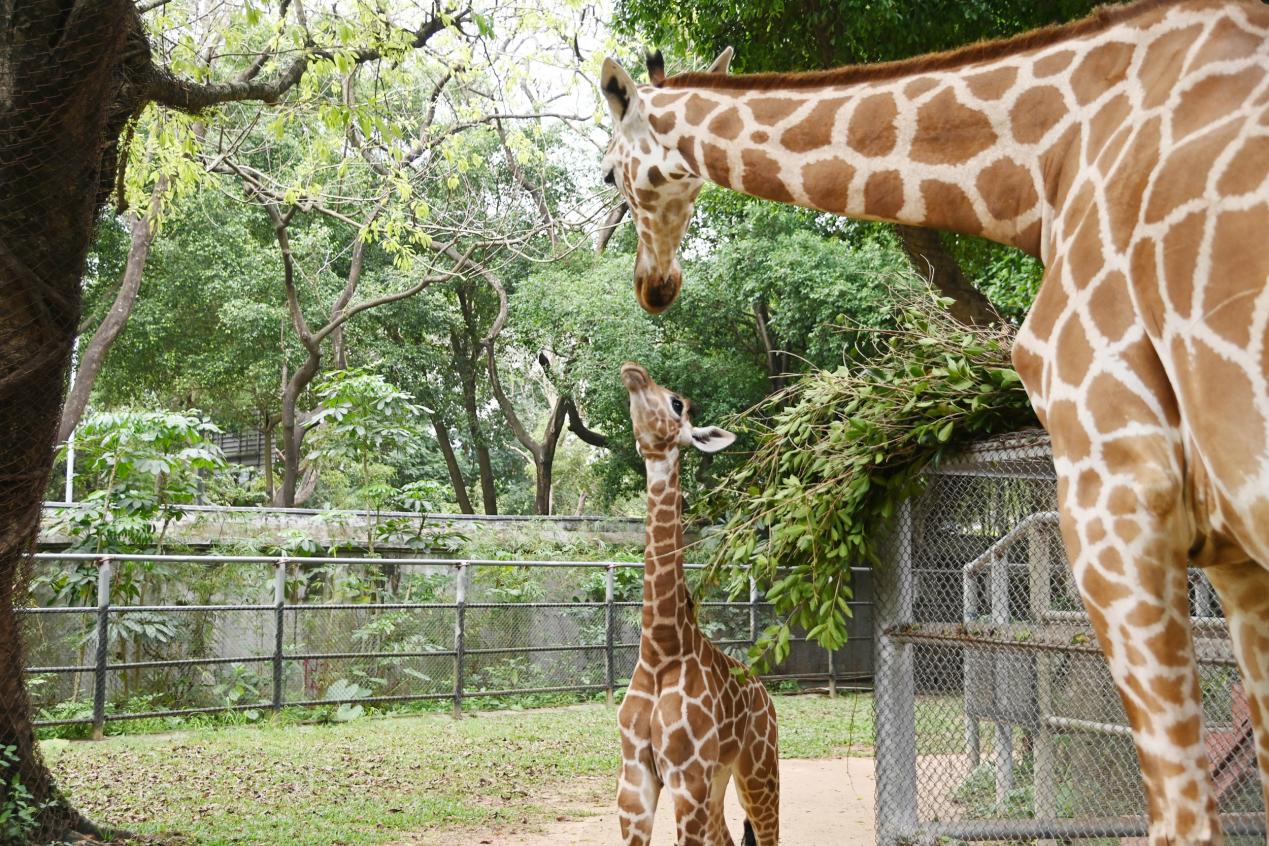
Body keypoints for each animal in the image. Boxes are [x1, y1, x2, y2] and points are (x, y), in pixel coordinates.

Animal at [616, 365, 781, 846]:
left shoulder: (686, 776)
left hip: (758, 768)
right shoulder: (634, 780)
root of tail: (766, 694)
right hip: (719, 777)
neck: (660, 648)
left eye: (676, 403)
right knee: (724, 835)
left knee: (768, 833)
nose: (633, 371)